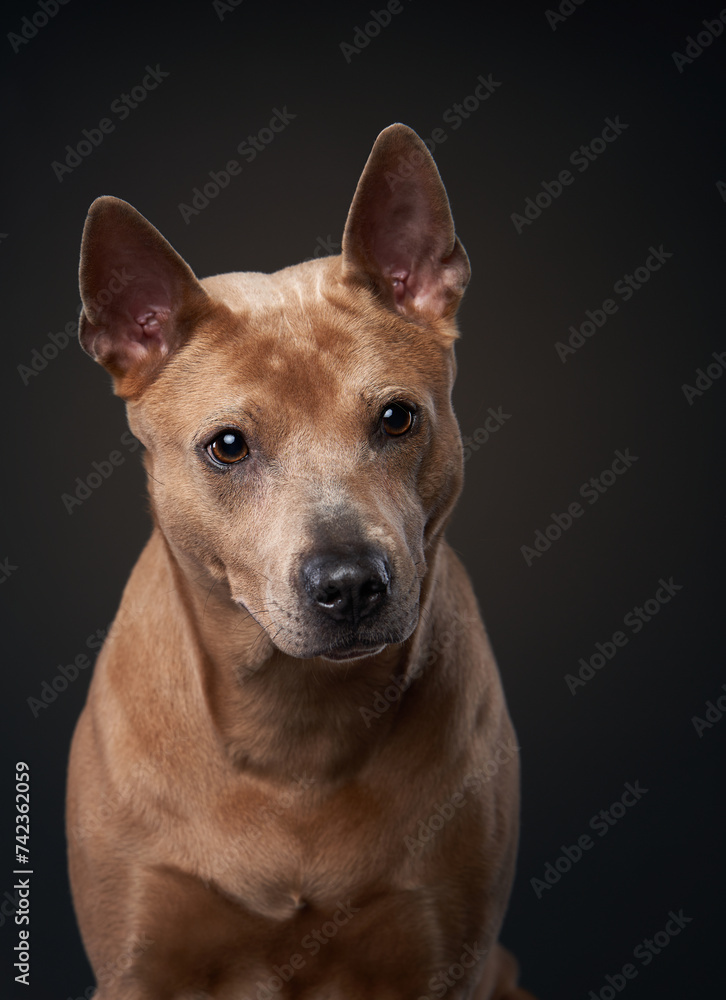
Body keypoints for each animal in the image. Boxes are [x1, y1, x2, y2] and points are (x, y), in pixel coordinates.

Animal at [68, 121, 536, 996]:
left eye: (397, 418)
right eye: (227, 446)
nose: (349, 584)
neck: (297, 732)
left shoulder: (447, 957)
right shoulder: (138, 965)